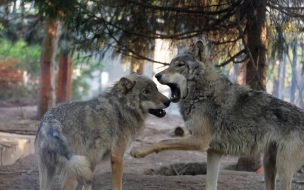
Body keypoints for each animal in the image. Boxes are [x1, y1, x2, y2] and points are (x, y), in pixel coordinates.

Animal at [35, 73, 171, 190]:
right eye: (146, 91)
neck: (122, 107)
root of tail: (49, 120)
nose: (168, 101)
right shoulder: (117, 157)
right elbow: (118, 186)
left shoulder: (91, 165)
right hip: (72, 174)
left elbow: (88, 186)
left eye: (157, 89)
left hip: (48, 173)